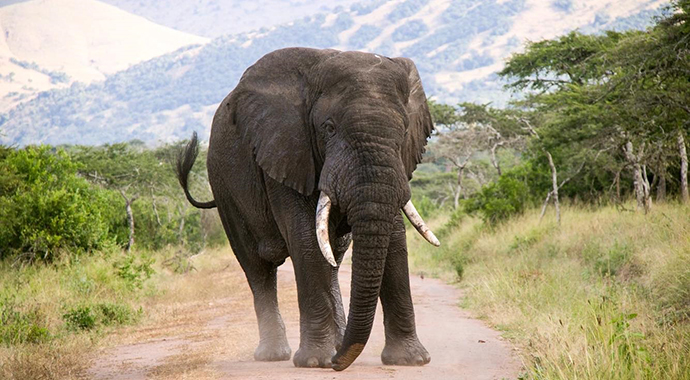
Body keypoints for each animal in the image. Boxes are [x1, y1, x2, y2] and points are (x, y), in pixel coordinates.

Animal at [175, 47, 438, 372]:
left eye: (404, 131)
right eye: (329, 128)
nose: (339, 364)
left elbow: (394, 240)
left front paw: (411, 360)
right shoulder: (286, 148)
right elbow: (306, 241)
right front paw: (316, 361)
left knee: (333, 258)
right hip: (224, 186)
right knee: (257, 267)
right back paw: (275, 354)